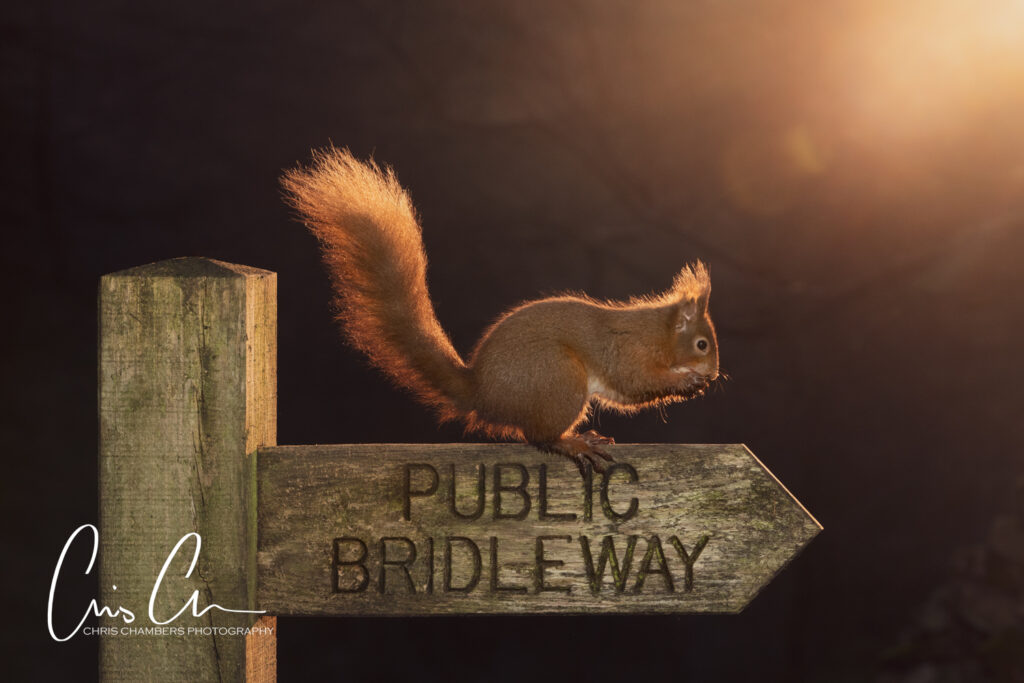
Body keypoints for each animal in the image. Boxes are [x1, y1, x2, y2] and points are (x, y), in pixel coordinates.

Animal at [282, 147, 719, 474]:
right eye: (701, 344)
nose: (714, 375)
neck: (658, 332)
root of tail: (483, 393)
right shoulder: (627, 351)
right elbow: (635, 382)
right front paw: (686, 381)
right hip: (558, 377)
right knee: (538, 436)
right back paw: (574, 443)